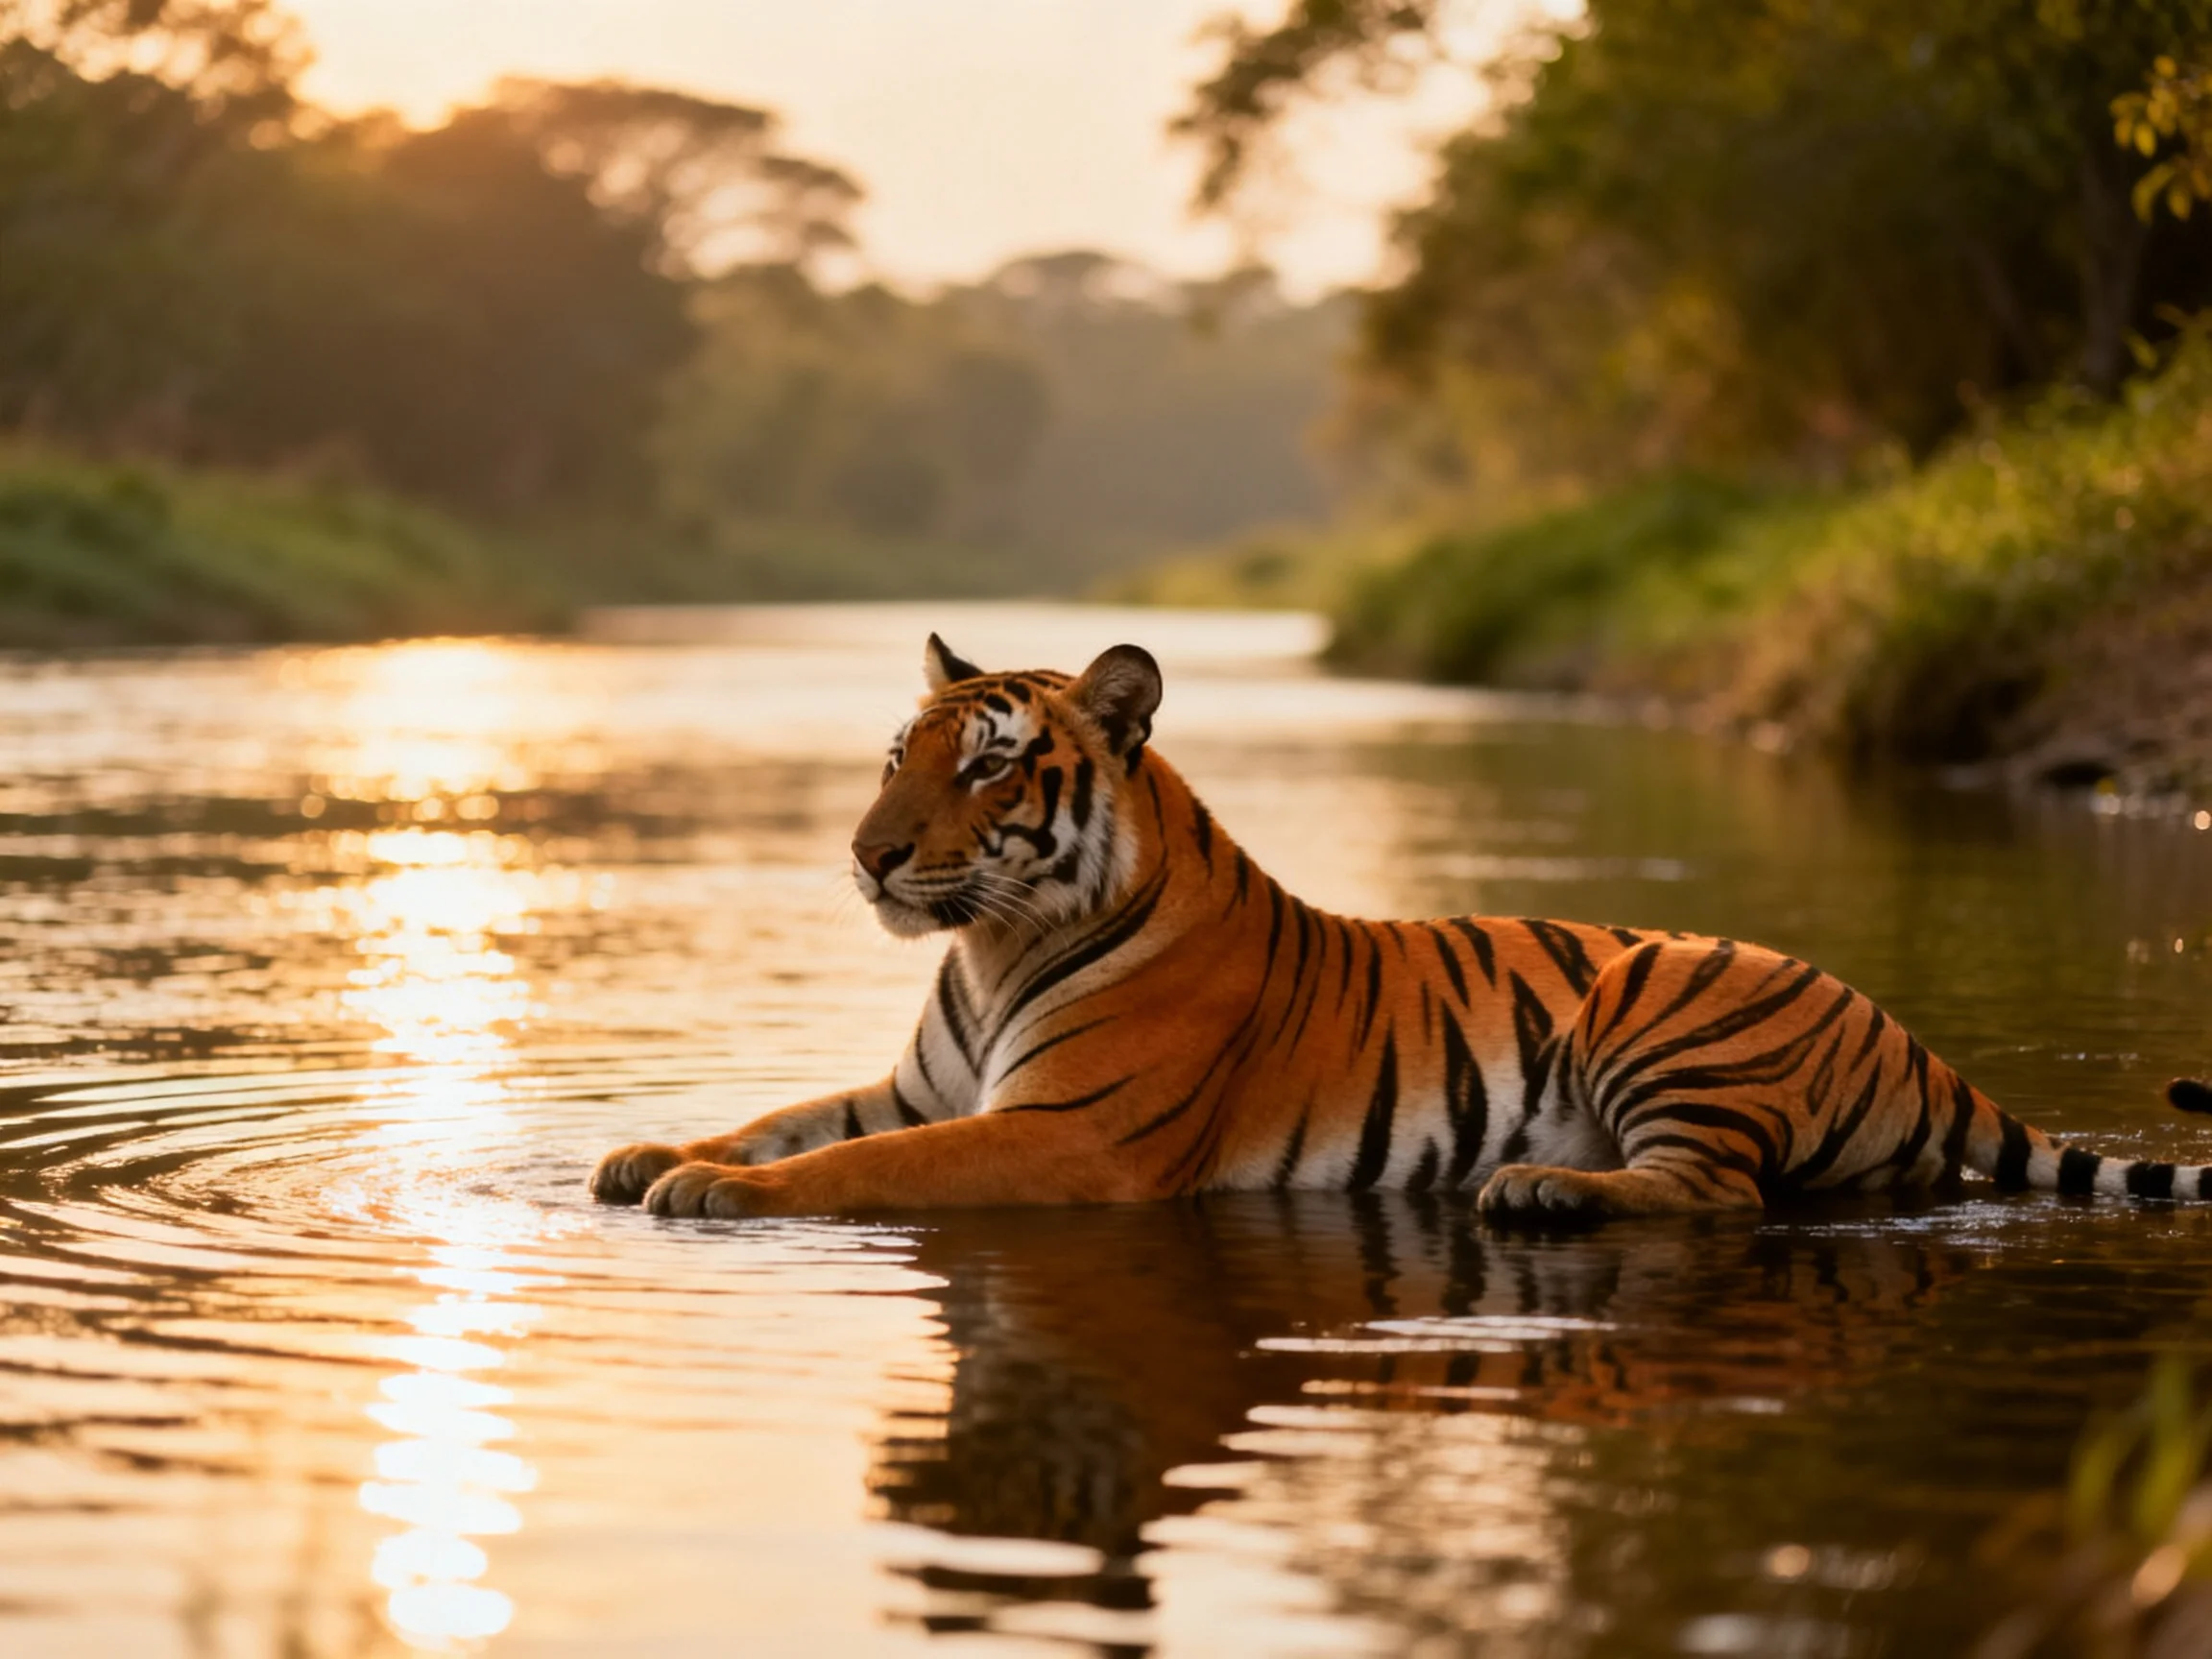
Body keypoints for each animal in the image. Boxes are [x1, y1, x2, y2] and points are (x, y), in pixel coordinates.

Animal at [590, 635, 2212, 1223]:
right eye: (895, 755)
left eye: (986, 767)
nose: (867, 855)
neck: (987, 951)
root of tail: (1912, 1034)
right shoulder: (924, 1084)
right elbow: (785, 1117)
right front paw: (642, 1153)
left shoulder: (1068, 1133)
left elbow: (852, 1166)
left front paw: (707, 1195)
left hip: (1655, 992)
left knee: (1719, 1196)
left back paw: (1541, 1194)